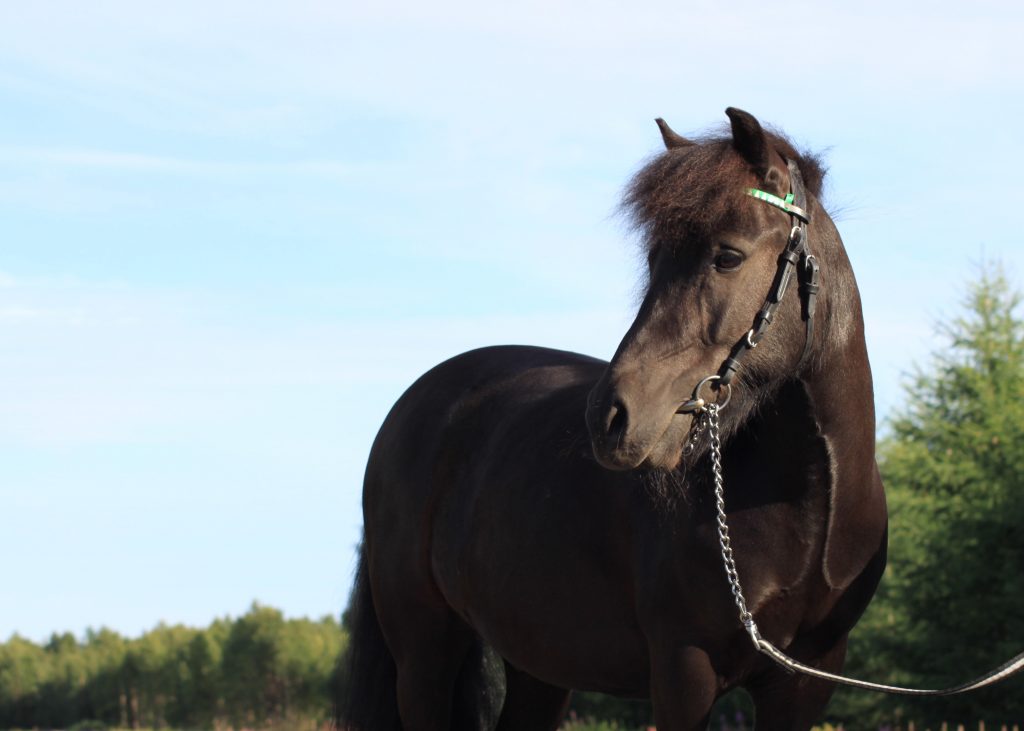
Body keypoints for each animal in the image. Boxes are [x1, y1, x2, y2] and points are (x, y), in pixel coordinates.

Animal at [337, 108, 888, 728]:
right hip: (424, 654)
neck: (806, 507)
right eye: (654, 260)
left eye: (727, 256)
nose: (609, 418)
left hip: (539, 662)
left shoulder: (803, 685)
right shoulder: (683, 673)